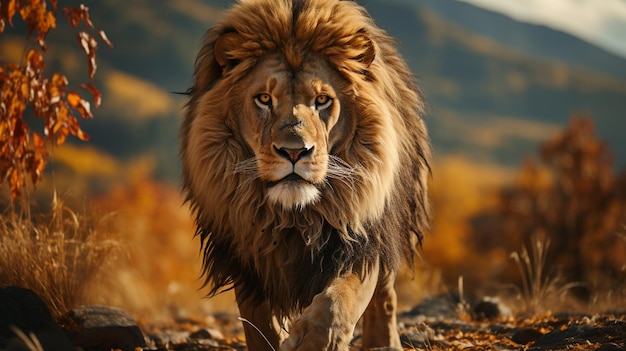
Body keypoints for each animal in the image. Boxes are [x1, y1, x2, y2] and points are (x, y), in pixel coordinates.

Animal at [180, 0, 428, 350]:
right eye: (264, 99)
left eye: (322, 100)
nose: (295, 152)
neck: (293, 218)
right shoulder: (246, 249)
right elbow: (259, 322)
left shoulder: (357, 237)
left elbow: (340, 299)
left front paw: (313, 339)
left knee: (385, 294)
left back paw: (384, 342)